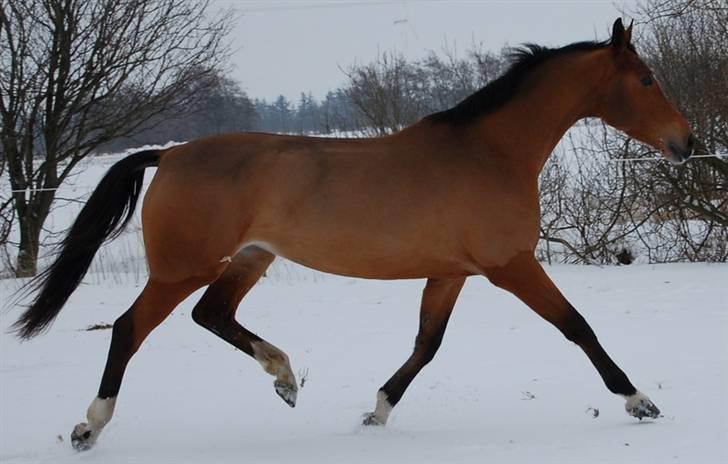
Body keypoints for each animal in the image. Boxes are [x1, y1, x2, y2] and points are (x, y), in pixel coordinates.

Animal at [11, 20, 692, 452]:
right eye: (646, 80)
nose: (685, 144)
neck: (491, 153)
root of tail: (169, 155)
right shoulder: (510, 265)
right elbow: (577, 326)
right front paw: (639, 401)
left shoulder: (451, 272)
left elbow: (426, 345)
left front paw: (376, 412)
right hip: (182, 267)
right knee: (130, 328)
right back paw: (89, 427)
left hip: (250, 259)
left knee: (213, 314)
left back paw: (285, 378)